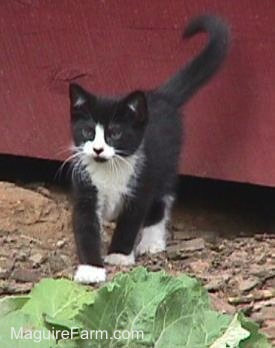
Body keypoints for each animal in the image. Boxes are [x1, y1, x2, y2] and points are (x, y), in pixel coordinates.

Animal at [69, 14, 231, 284]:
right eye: (88, 132)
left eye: (115, 133)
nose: (98, 149)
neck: (109, 171)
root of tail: (161, 97)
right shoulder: (84, 187)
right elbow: (85, 225)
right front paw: (90, 269)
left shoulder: (141, 183)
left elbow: (131, 220)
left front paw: (119, 255)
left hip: (164, 162)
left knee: (162, 198)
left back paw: (152, 241)